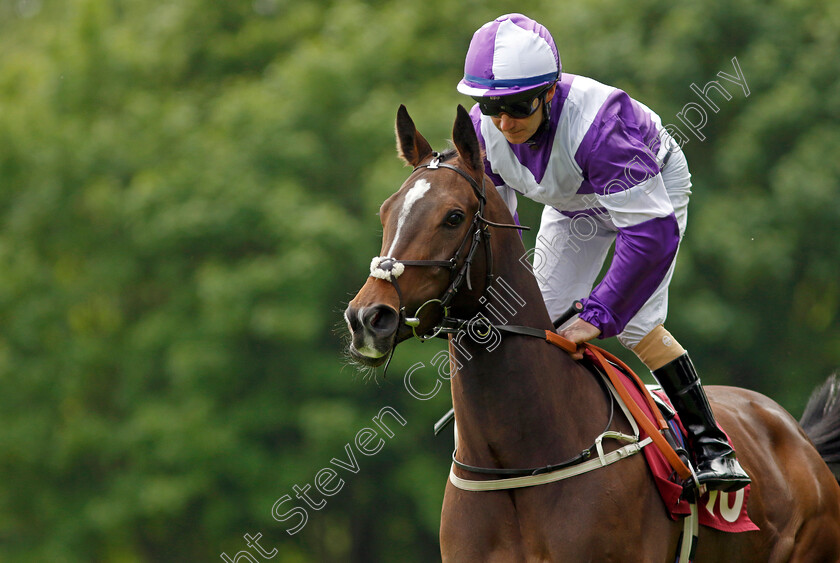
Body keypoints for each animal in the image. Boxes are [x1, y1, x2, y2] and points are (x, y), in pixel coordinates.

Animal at [344, 103, 840, 560]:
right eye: (386, 211)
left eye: (453, 217)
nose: (368, 317)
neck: (516, 464)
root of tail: (798, 437)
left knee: (643, 323)